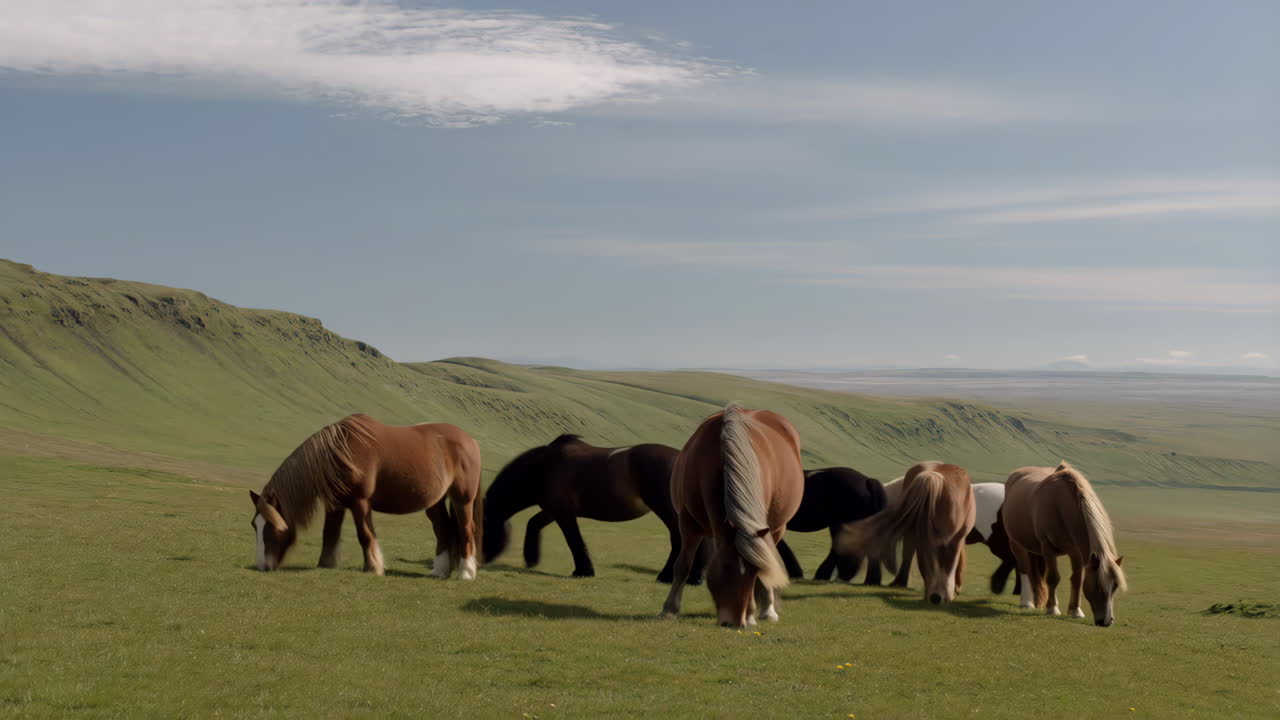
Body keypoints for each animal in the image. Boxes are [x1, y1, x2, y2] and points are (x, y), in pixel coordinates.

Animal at [247, 413, 483, 579]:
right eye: (255, 525)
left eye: (275, 527)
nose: (262, 566)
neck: (338, 452)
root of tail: (471, 441)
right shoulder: (335, 504)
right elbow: (329, 533)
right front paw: (326, 564)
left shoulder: (360, 502)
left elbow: (365, 535)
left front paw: (373, 567)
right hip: (435, 502)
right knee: (444, 529)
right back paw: (440, 571)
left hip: (462, 499)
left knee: (465, 530)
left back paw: (466, 573)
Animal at [481, 434, 705, 583]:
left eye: (483, 529)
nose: (484, 557)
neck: (543, 467)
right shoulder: (553, 510)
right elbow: (533, 523)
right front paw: (531, 558)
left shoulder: (563, 513)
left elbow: (574, 540)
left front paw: (583, 570)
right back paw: (693, 578)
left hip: (667, 510)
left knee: (680, 539)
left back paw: (667, 576)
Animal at [661, 404, 804, 627]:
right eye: (724, 569)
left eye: (753, 573)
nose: (735, 622)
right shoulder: (688, 524)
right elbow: (682, 565)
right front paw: (669, 609)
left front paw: (752, 614)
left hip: (777, 528)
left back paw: (767, 610)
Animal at [1002, 462, 1127, 626]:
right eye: (1098, 585)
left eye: (1115, 586)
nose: (1107, 621)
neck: (1060, 505)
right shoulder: (1048, 549)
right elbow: (1053, 578)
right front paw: (1052, 609)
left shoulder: (1076, 553)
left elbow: (1077, 579)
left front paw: (1075, 611)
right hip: (1016, 544)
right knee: (1024, 570)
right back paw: (1026, 602)